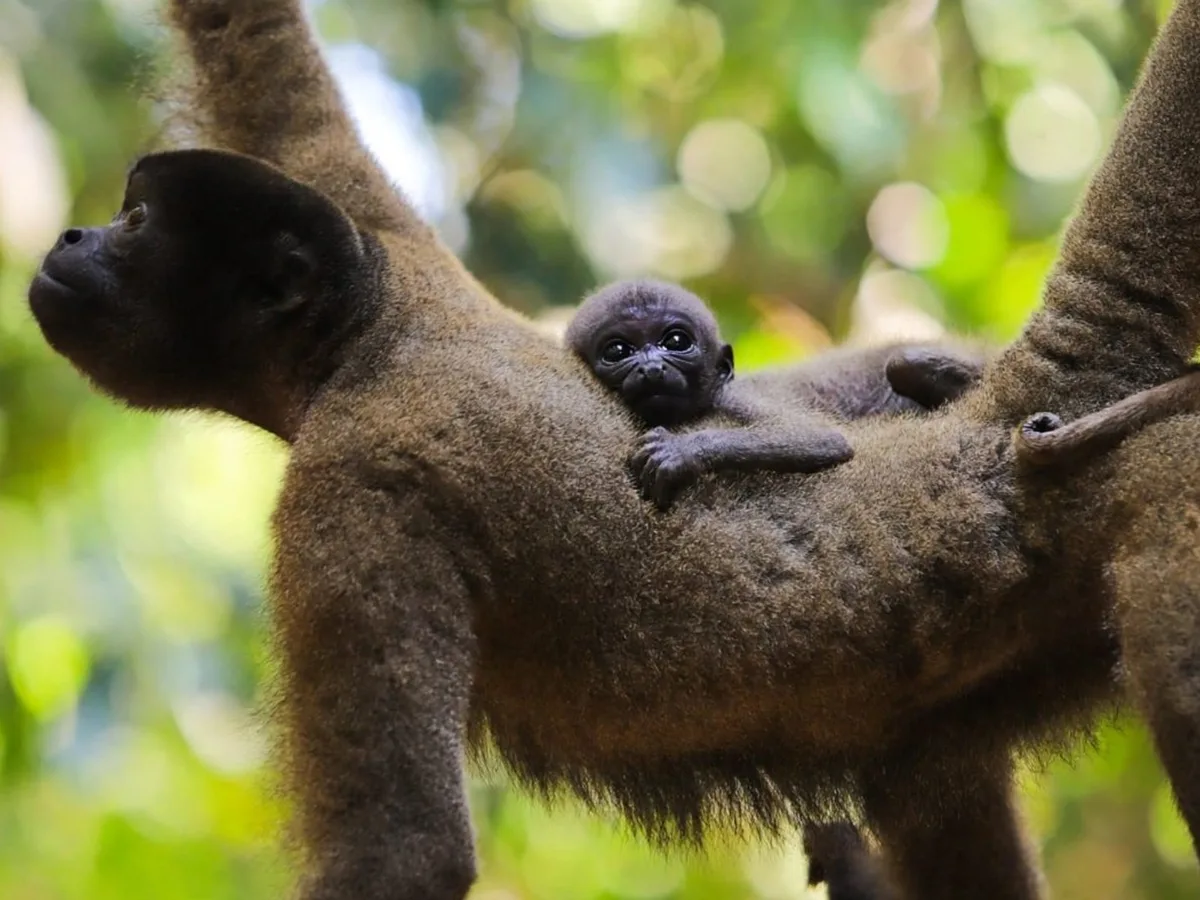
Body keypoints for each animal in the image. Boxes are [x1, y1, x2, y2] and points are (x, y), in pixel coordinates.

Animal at [565, 278, 987, 508]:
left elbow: (821, 438)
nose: (652, 367)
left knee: (902, 364)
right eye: (618, 351)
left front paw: (681, 452)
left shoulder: (734, 397)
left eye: (676, 342)